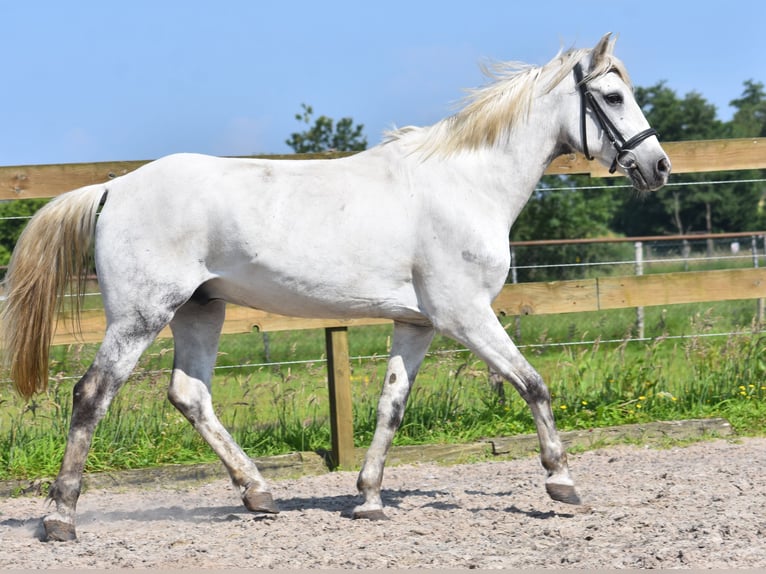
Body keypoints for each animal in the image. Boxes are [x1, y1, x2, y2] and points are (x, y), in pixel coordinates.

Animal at [0, 33, 672, 544]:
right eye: (613, 95)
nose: (659, 166)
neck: (466, 185)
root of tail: (113, 188)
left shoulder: (417, 324)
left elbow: (391, 405)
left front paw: (368, 497)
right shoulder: (465, 315)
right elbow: (533, 383)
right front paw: (562, 482)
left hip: (200, 311)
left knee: (190, 396)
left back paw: (259, 493)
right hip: (141, 315)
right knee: (92, 394)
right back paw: (60, 518)